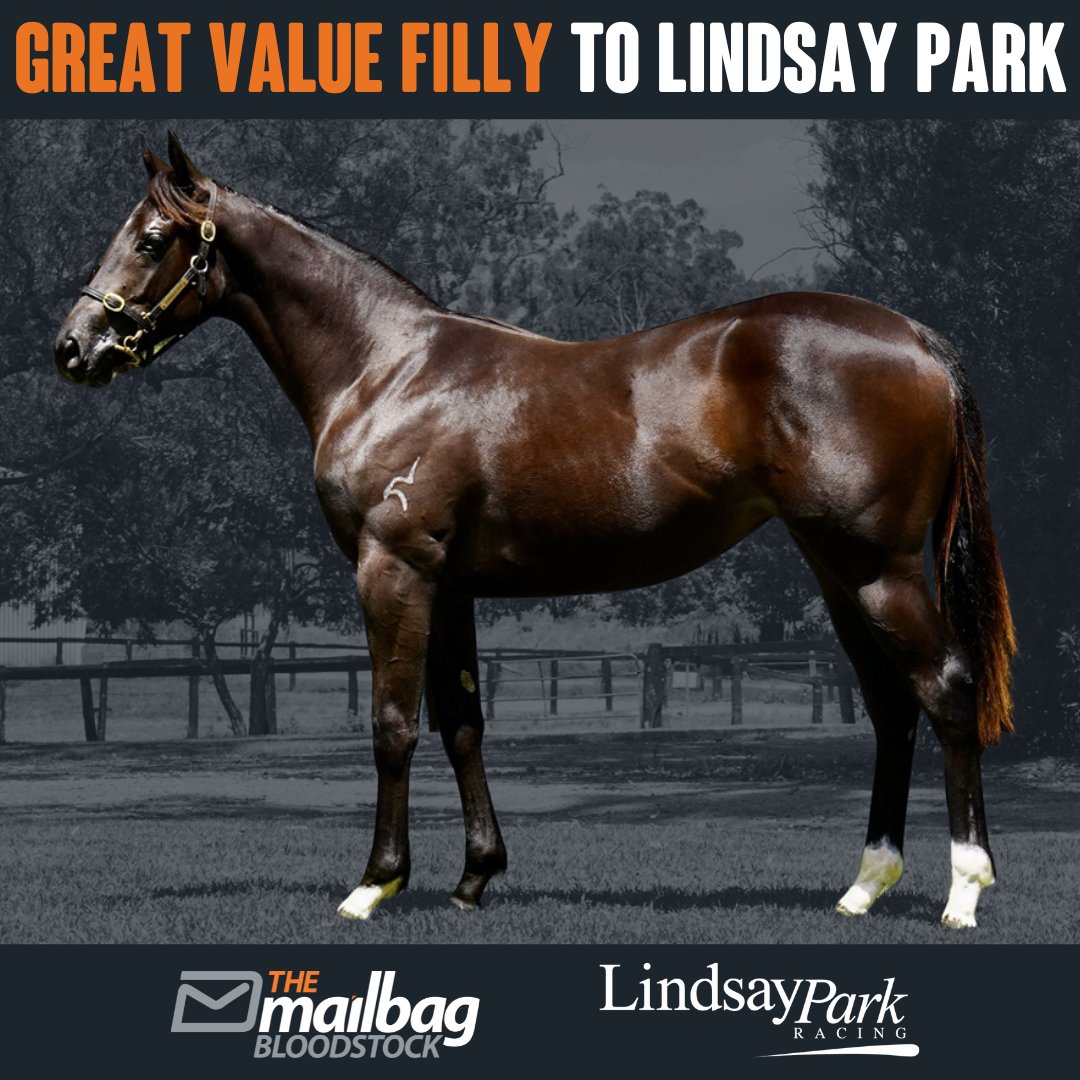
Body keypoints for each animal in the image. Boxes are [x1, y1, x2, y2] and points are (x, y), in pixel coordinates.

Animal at [54, 134, 1015, 929]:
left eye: (151, 240)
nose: (73, 348)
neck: (386, 367)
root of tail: (918, 339)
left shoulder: (391, 570)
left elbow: (393, 724)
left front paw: (375, 883)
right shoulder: (450, 586)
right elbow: (462, 724)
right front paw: (475, 877)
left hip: (880, 568)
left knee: (946, 688)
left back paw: (965, 891)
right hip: (837, 569)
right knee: (891, 705)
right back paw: (864, 885)